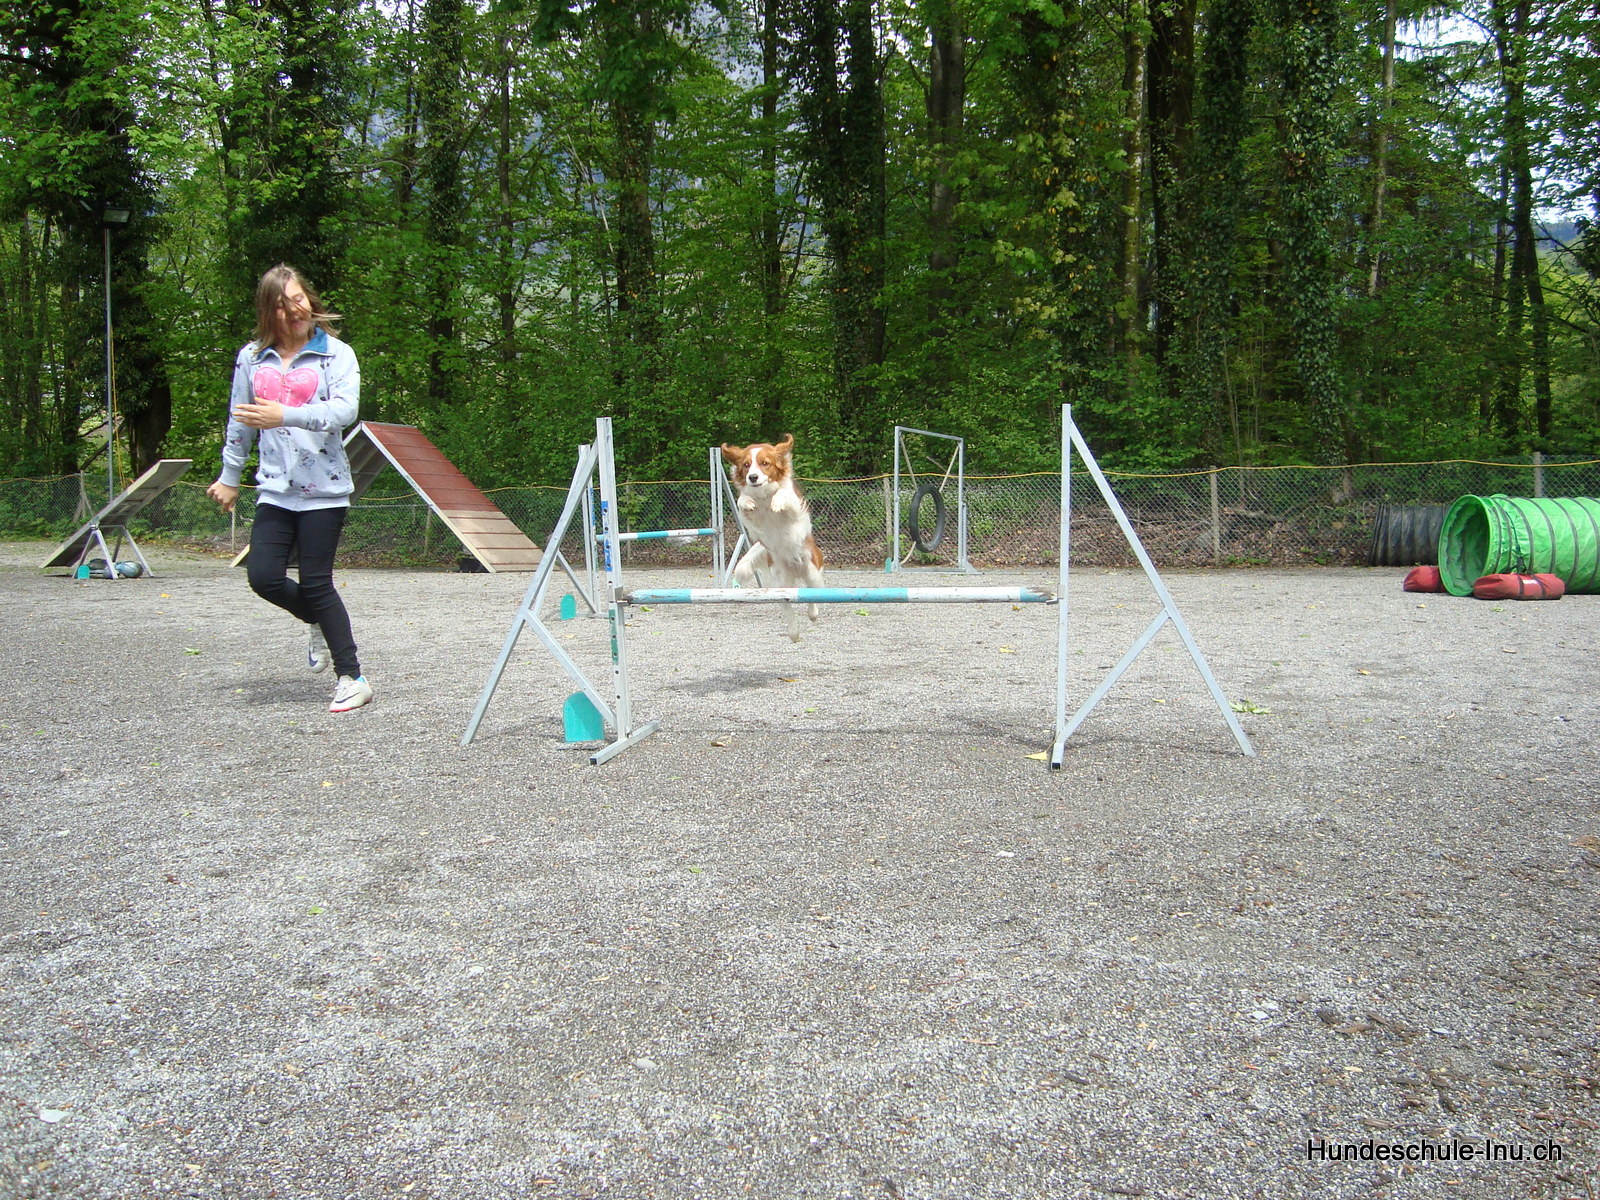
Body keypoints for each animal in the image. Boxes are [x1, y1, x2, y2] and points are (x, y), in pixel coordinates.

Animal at [721, 434, 824, 642]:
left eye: (764, 463)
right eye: (746, 465)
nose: (752, 477)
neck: (763, 496)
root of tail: (795, 570)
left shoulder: (795, 511)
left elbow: (784, 495)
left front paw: (777, 502)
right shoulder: (751, 520)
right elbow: (741, 501)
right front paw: (747, 501)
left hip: (811, 569)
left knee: (811, 592)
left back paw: (813, 613)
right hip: (779, 582)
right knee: (788, 604)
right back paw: (793, 632)